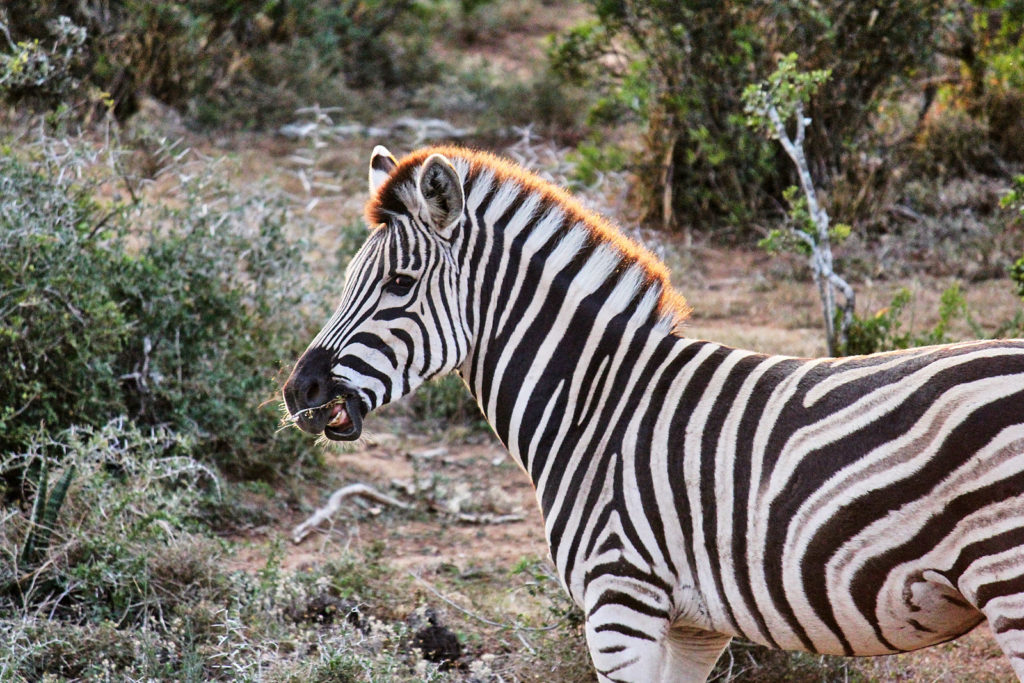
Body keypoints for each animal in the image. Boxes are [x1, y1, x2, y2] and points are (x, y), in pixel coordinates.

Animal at [282, 143, 1024, 679]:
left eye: (399, 284)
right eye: (349, 281)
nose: (299, 392)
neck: (595, 406)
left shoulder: (621, 600)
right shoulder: (694, 625)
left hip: (1009, 580)